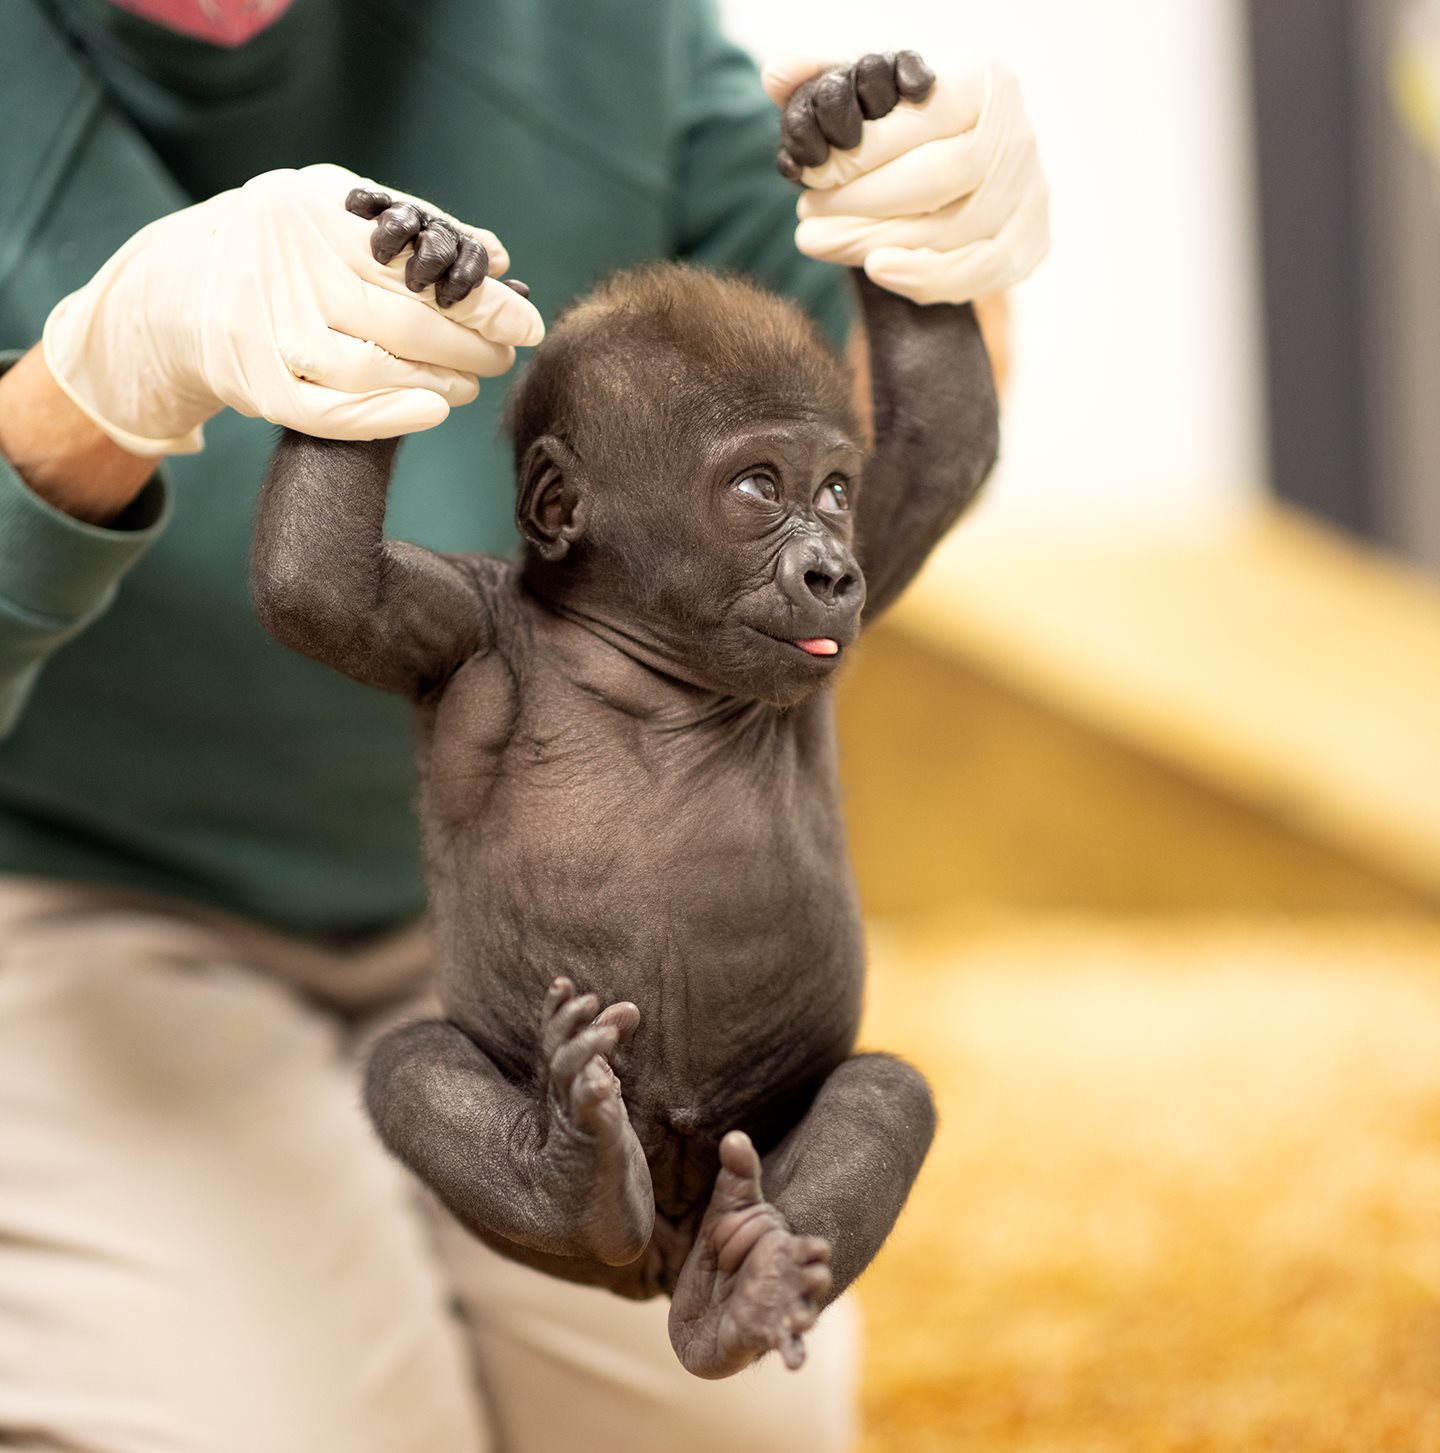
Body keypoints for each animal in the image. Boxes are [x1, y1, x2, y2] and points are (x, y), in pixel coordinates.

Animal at [249, 56, 988, 1377]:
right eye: (757, 488)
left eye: (835, 492)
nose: (831, 574)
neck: (644, 653)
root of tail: (656, 1251)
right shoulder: (458, 620)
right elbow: (315, 585)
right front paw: (403, 282)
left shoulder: (868, 568)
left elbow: (945, 447)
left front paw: (865, 133)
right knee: (410, 1064)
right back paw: (568, 1178)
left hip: (743, 1168)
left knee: (884, 1095)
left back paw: (737, 1289)